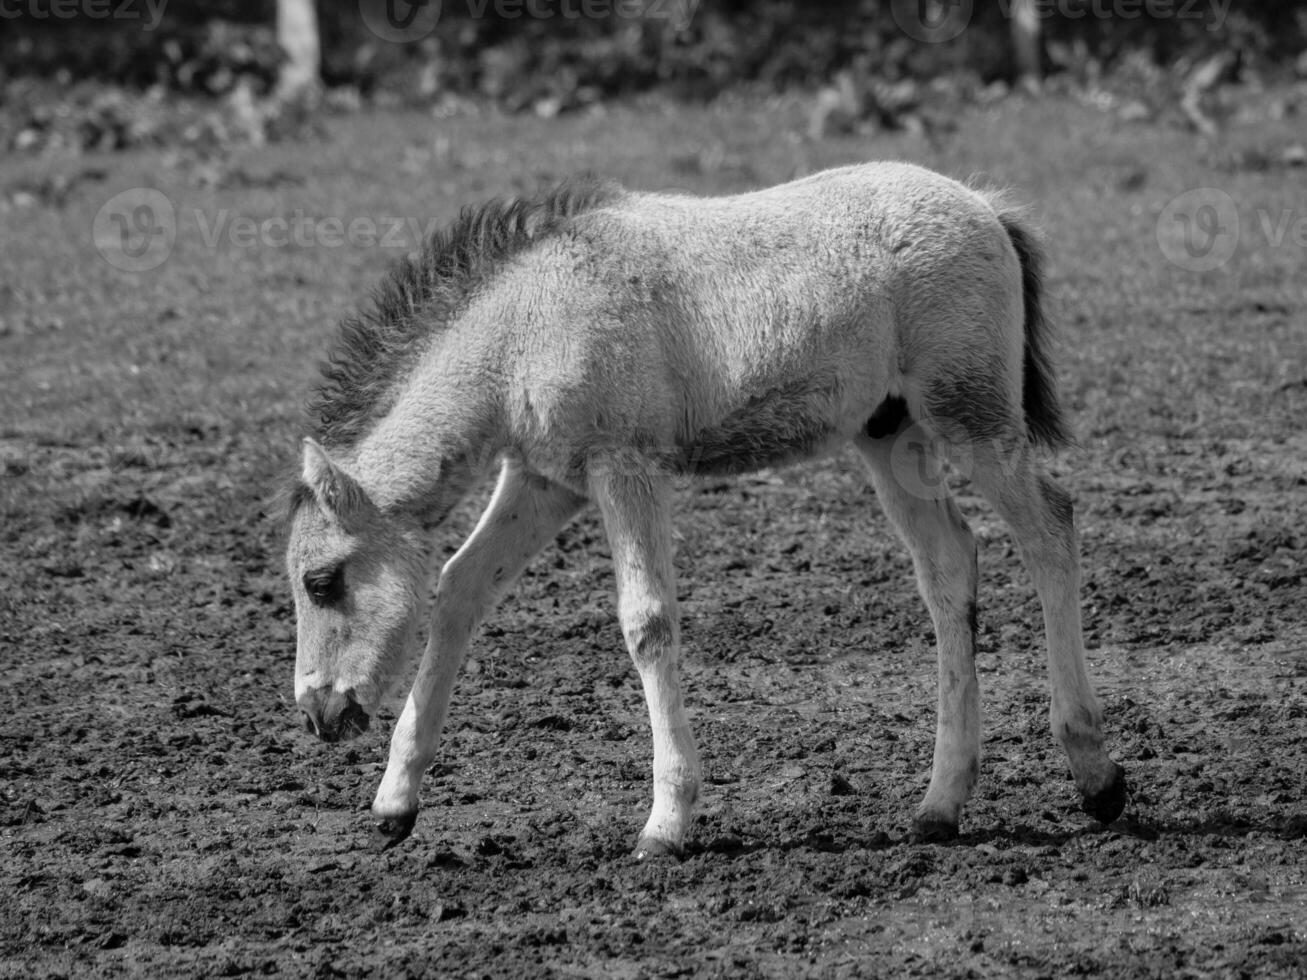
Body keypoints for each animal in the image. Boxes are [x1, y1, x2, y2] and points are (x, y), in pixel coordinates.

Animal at [286, 165, 1124, 857]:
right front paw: (394, 804)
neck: (525, 323)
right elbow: (459, 589)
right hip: (889, 433)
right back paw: (940, 804)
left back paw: (1094, 773)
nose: (318, 714)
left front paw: (666, 824)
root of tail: (983, 205)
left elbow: (647, 621)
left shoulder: (624, 467)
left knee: (1050, 529)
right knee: (948, 566)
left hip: (969, 415)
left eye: (322, 582)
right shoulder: (543, 479)